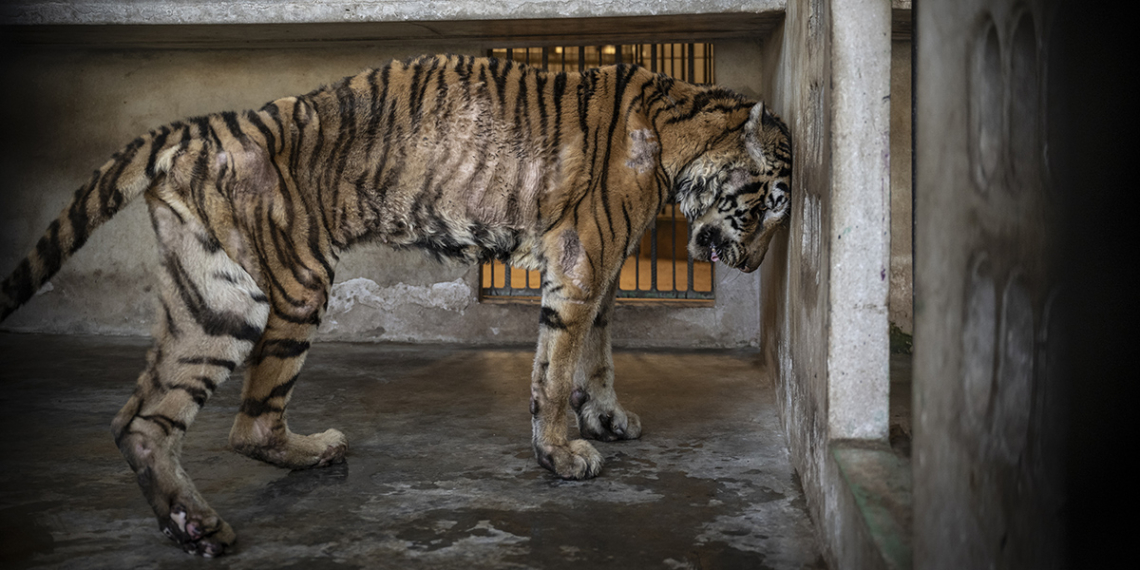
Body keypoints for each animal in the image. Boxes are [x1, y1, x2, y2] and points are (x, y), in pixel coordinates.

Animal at [0, 54, 791, 556]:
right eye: (764, 208)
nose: (752, 264)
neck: (682, 134)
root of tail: (208, 125)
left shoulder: (603, 269)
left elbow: (596, 354)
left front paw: (608, 418)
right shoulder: (581, 261)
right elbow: (556, 367)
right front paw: (562, 453)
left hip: (212, 301)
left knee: (143, 421)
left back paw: (197, 525)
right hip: (288, 288)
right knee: (246, 423)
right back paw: (278, 477)